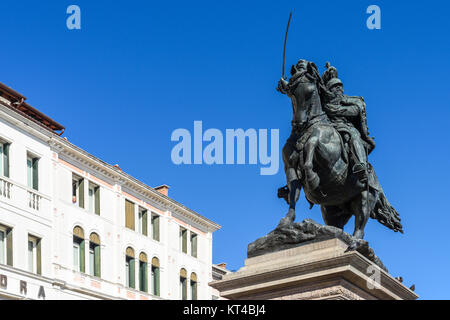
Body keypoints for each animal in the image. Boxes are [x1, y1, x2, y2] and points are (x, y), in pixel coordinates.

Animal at [278, 60, 400, 250]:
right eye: (291, 93)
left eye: (310, 92)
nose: (299, 124)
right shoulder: (289, 168)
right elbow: (293, 194)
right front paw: (286, 221)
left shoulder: (330, 156)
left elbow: (313, 143)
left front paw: (312, 178)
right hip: (331, 211)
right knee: (337, 226)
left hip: (365, 198)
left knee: (360, 225)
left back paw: (355, 244)